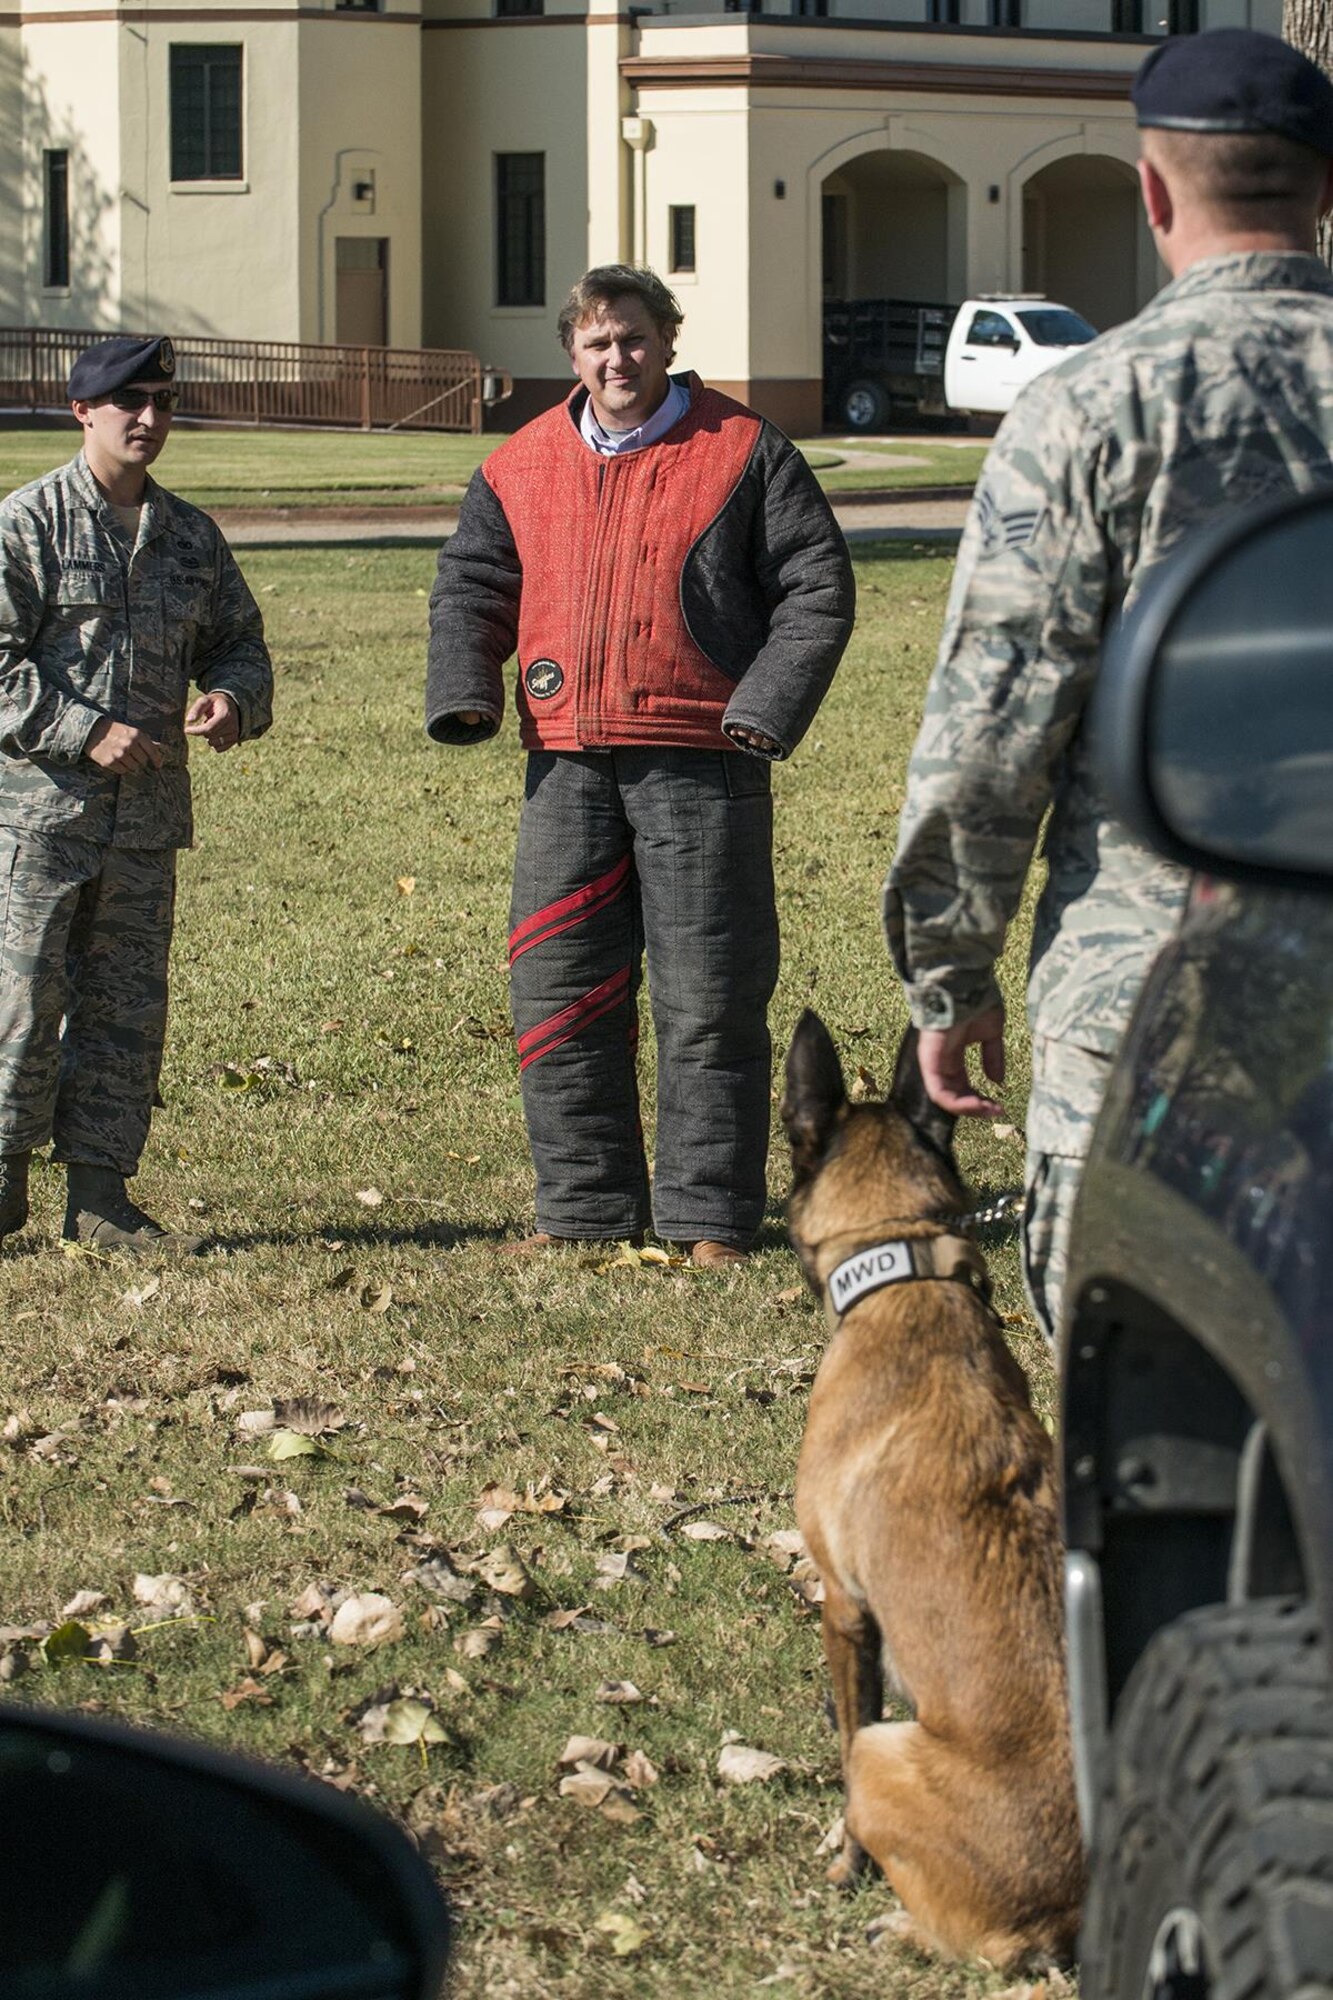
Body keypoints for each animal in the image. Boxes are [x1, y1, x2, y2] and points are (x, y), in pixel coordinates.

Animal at [780, 1016, 1080, 1968]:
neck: (905, 1273)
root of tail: (1065, 1914)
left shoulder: (843, 1604)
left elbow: (842, 1742)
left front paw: (844, 1865)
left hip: (887, 1750)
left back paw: (898, 1923)